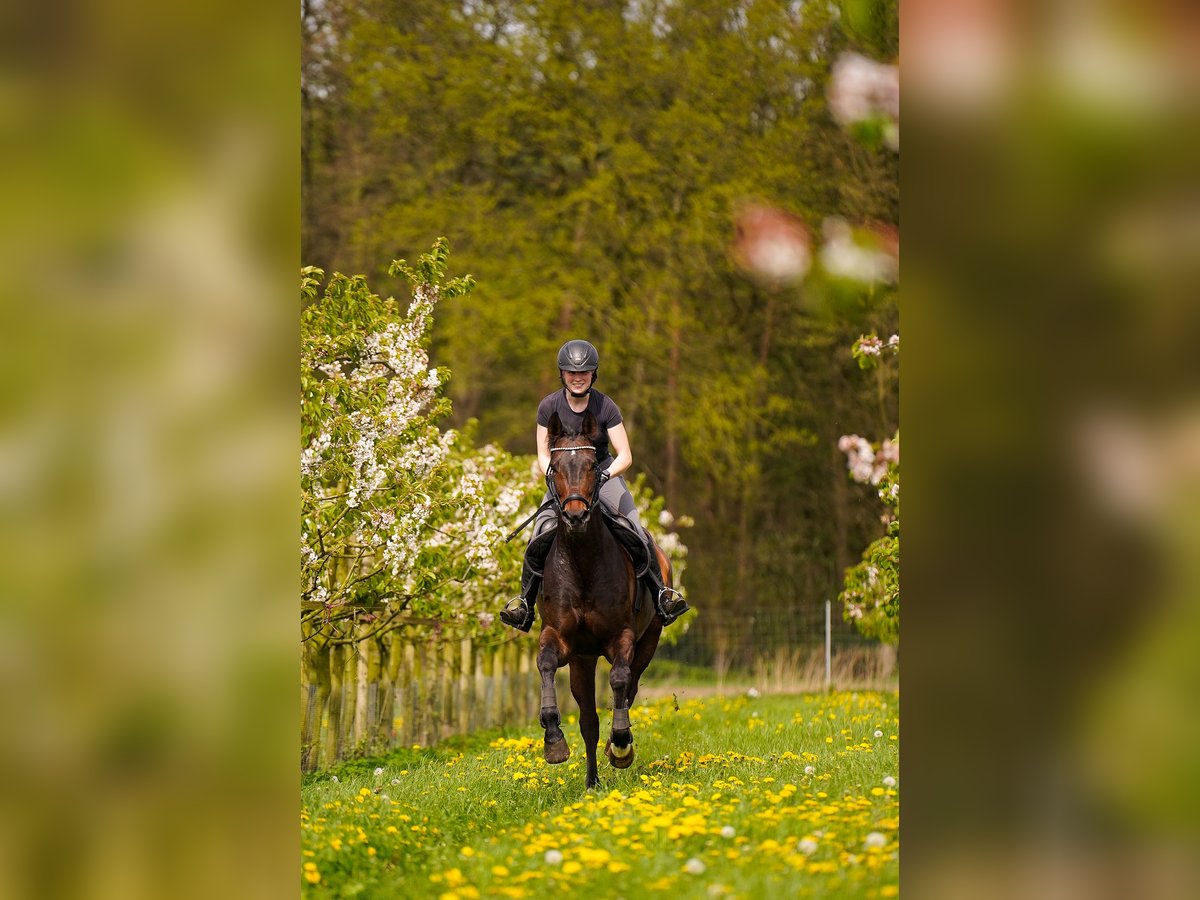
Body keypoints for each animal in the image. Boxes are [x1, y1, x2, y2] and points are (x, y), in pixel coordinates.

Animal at [535, 409, 669, 789]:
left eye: (594, 465)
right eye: (555, 466)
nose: (575, 515)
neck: (583, 562)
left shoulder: (621, 636)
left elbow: (620, 681)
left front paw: (621, 744)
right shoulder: (560, 638)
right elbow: (545, 663)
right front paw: (553, 740)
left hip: (649, 640)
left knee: (631, 687)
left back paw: (616, 745)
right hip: (583, 659)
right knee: (588, 721)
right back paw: (592, 781)